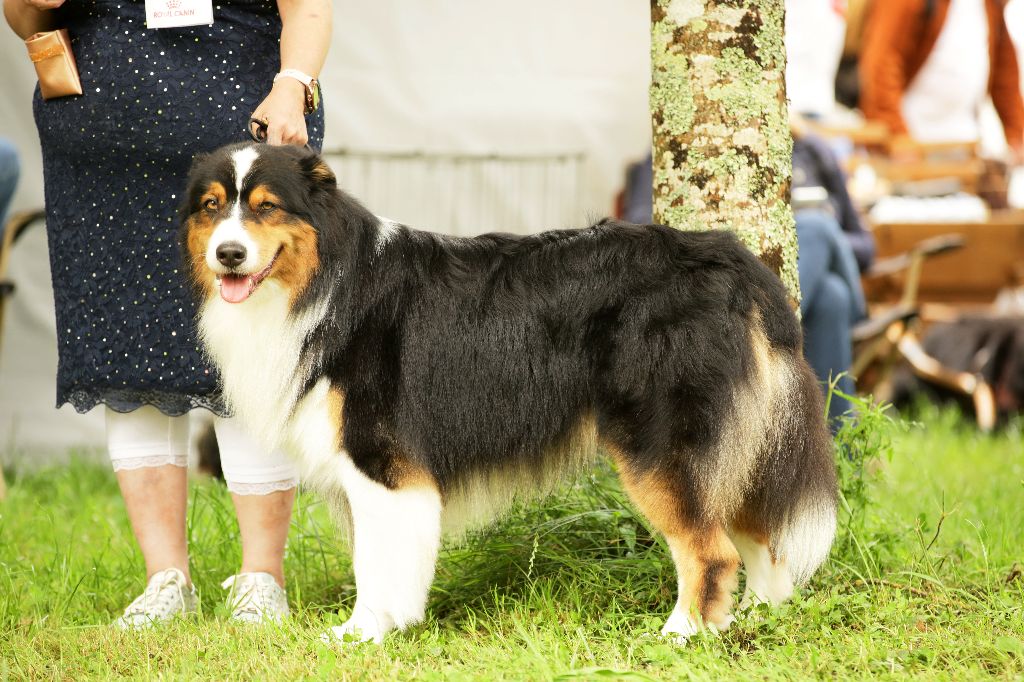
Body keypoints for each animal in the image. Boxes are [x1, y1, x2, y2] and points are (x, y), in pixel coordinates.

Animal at [180, 143, 835, 643]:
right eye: (212, 207)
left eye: (266, 208)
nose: (228, 255)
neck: (326, 284)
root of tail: (728, 258)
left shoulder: (381, 461)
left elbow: (376, 562)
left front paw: (362, 633)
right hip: (737, 440)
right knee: (760, 533)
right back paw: (753, 618)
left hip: (660, 443)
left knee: (712, 549)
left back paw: (683, 633)